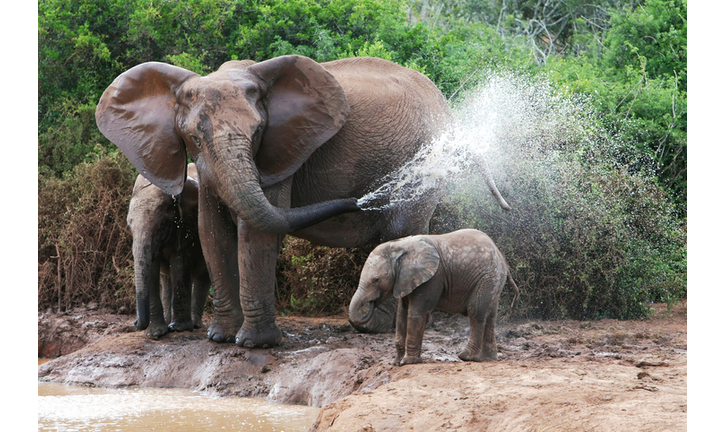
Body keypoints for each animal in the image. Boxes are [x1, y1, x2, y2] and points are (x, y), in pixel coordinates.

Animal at [127, 162, 211, 338]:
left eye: (161, 225)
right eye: (129, 227)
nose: (135, 323)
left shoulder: (187, 224)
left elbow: (180, 262)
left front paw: (179, 329)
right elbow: (152, 269)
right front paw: (156, 334)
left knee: (203, 275)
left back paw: (194, 324)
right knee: (167, 279)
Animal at [348, 228, 516, 366]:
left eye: (375, 280)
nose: (370, 304)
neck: (400, 245)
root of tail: (502, 258)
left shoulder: (432, 279)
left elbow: (416, 313)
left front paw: (409, 362)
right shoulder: (405, 280)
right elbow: (402, 314)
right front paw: (396, 363)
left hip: (487, 278)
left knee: (476, 312)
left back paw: (465, 356)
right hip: (493, 280)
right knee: (490, 316)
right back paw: (487, 359)